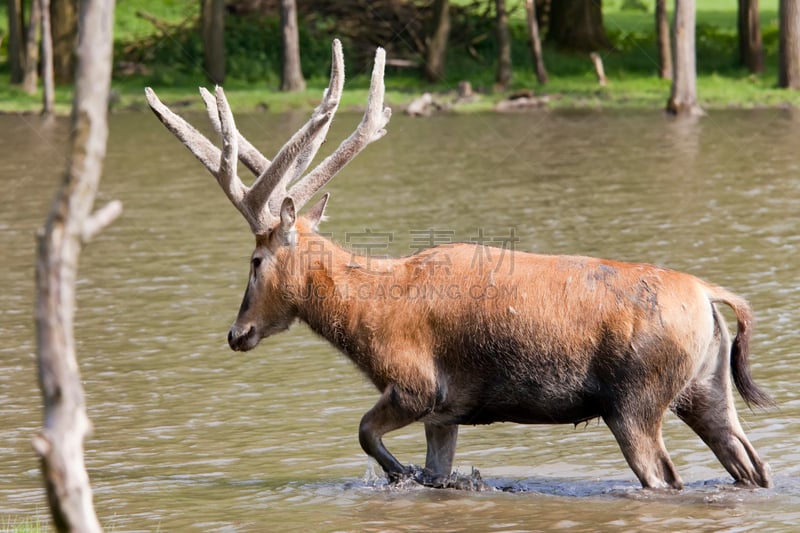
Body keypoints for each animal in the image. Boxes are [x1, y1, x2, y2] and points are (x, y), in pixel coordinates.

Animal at [145, 39, 776, 488]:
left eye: (254, 260)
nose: (237, 332)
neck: (365, 318)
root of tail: (709, 295)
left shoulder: (416, 386)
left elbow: (364, 434)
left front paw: (399, 473)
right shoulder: (445, 414)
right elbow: (432, 465)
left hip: (635, 400)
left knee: (667, 477)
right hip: (706, 389)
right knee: (750, 463)